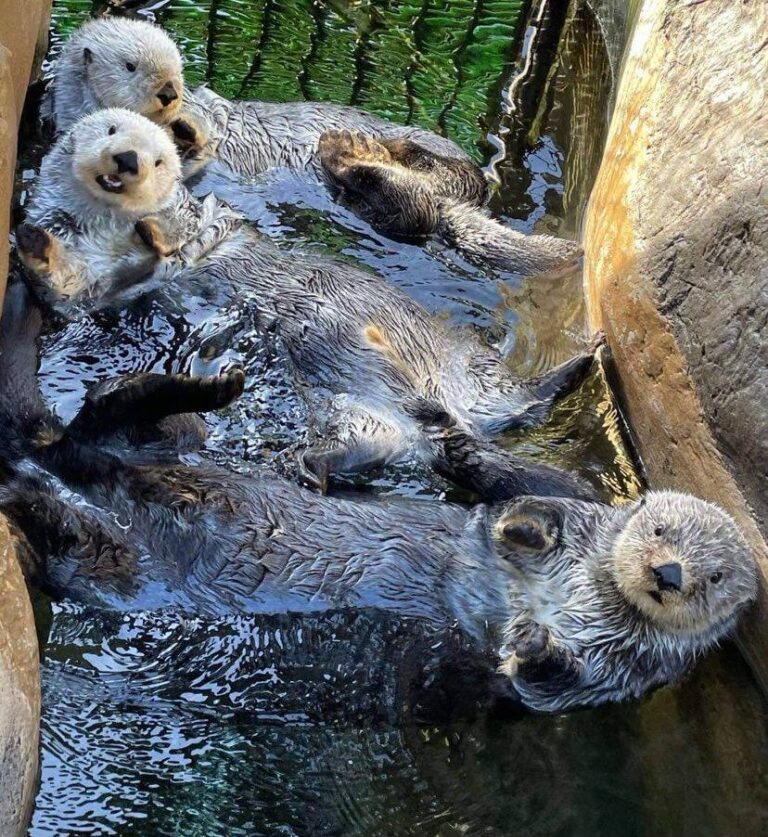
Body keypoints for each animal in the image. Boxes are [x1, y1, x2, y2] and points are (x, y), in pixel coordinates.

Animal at [0, 282, 756, 712]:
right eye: (659, 531)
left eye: (715, 575)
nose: (669, 574)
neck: (587, 590)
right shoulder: (584, 508)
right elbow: (541, 496)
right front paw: (522, 525)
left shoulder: (624, 677)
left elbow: (546, 684)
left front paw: (536, 645)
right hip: (166, 448)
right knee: (108, 414)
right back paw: (207, 385)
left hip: (115, 565)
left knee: (70, 504)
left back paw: (33, 494)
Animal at [16, 110, 592, 490]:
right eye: (109, 133)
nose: (127, 161)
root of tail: (436, 411)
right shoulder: (107, 282)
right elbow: (74, 286)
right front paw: (35, 242)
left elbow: (171, 220)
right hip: (364, 414)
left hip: (463, 366)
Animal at [46, 17, 584, 274]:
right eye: (132, 66)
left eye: (177, 64)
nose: (169, 91)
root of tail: (457, 202)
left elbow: (207, 123)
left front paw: (186, 122)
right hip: (400, 206)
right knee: (412, 212)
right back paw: (353, 155)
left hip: (452, 166)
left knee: (436, 178)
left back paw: (372, 145)